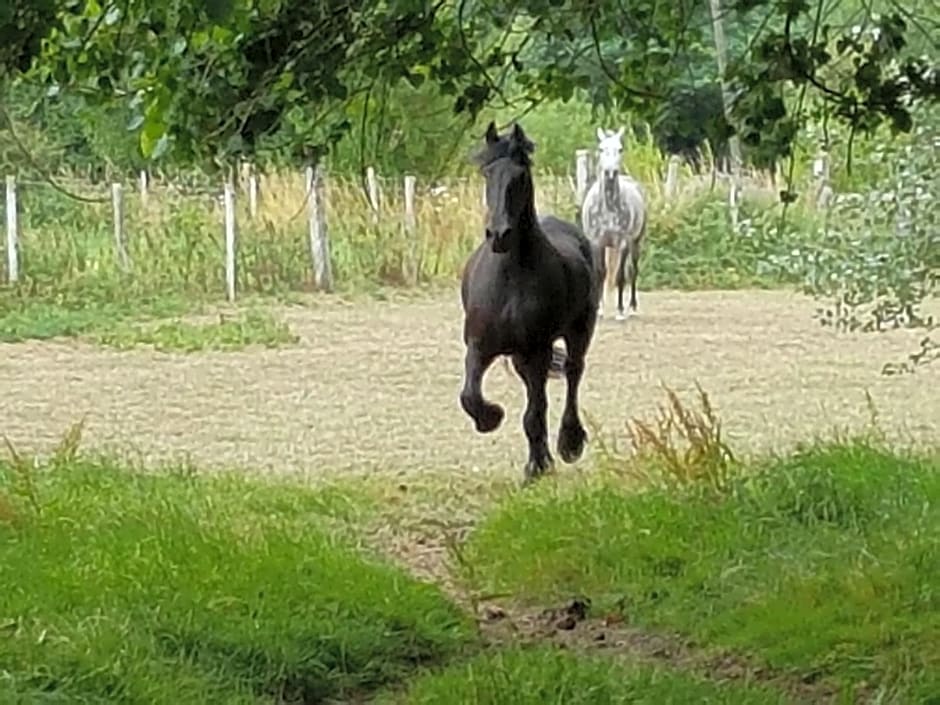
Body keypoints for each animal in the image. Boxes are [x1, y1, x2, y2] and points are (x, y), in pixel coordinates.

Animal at [458, 122, 604, 484]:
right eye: (487, 173)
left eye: (520, 176)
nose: (498, 234)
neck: (511, 276)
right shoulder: (479, 346)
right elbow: (470, 396)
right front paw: (491, 417)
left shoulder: (537, 349)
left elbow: (535, 412)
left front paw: (537, 467)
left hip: (579, 331)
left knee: (573, 374)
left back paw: (569, 443)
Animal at [580, 128, 648, 320]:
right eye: (601, 149)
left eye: (620, 149)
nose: (611, 172)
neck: (609, 207)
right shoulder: (597, 243)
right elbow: (600, 273)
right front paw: (600, 310)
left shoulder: (623, 243)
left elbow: (620, 276)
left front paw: (619, 310)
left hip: (636, 243)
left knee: (632, 271)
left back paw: (632, 307)